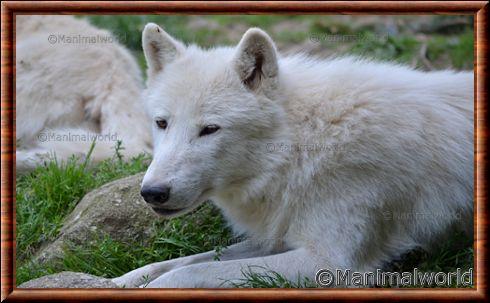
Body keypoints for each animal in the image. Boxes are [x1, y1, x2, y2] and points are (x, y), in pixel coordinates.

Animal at [113, 23, 472, 288]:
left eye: (210, 129)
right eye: (162, 123)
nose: (152, 192)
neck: (302, 145)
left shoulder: (329, 261)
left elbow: (188, 272)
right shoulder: (276, 236)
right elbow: (175, 262)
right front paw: (119, 281)